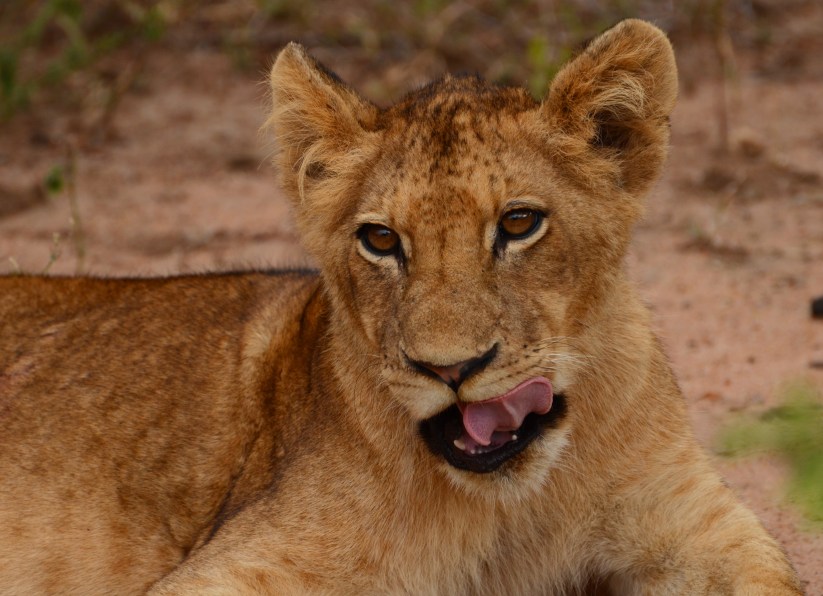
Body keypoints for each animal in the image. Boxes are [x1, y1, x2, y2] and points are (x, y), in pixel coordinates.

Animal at [0, 19, 803, 595]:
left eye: (519, 223)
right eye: (381, 239)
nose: (449, 370)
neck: (515, 506)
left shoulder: (698, 524)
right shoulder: (235, 566)